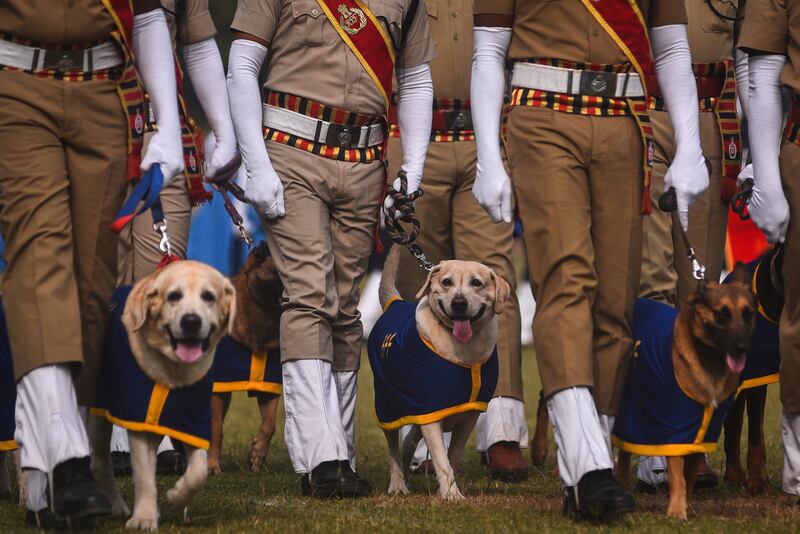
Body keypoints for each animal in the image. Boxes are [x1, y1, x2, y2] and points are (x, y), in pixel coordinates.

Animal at [92, 262, 234, 532]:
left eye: (209, 297)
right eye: (173, 296)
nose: (191, 321)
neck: (173, 372)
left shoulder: (194, 421)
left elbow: (199, 470)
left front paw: (177, 498)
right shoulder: (139, 420)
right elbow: (144, 476)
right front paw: (144, 518)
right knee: (100, 462)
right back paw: (115, 504)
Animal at [206, 245, 284, 476]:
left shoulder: (268, 386)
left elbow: (269, 424)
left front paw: (257, 455)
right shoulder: (218, 388)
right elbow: (215, 429)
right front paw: (212, 465)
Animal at [368, 247, 506, 502]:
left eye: (476, 282)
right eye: (446, 282)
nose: (459, 302)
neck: (463, 349)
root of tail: (395, 303)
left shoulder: (467, 416)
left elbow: (451, 456)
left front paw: (446, 489)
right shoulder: (430, 412)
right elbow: (441, 458)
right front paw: (451, 494)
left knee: (408, 443)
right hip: (387, 405)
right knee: (393, 449)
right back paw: (398, 485)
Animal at [612, 266, 756, 520]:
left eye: (747, 314)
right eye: (722, 314)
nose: (743, 348)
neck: (709, 359)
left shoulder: (707, 431)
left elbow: (689, 475)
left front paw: (687, 504)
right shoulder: (675, 425)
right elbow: (678, 474)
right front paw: (677, 510)